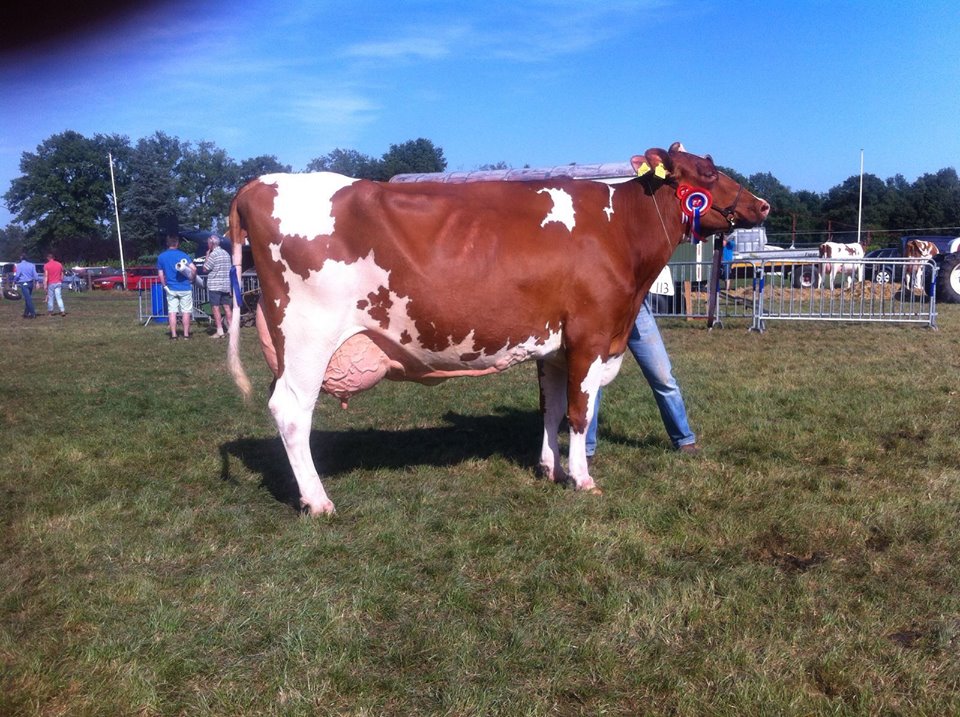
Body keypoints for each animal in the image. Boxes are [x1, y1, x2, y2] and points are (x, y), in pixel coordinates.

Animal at [226, 142, 770, 515]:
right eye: (708, 172)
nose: (763, 205)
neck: (619, 229)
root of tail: (258, 184)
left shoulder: (555, 344)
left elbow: (552, 410)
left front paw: (550, 469)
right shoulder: (591, 336)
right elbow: (579, 413)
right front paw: (582, 480)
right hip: (307, 339)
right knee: (291, 412)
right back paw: (318, 502)